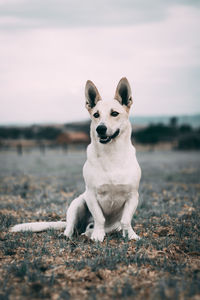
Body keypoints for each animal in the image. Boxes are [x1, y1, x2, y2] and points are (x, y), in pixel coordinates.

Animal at [10, 77, 141, 241]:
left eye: (114, 113)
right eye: (96, 115)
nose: (100, 129)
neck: (111, 153)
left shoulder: (133, 196)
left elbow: (126, 220)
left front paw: (131, 235)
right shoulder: (91, 195)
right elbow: (100, 218)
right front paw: (98, 235)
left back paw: (91, 232)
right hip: (77, 203)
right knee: (71, 226)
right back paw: (72, 234)